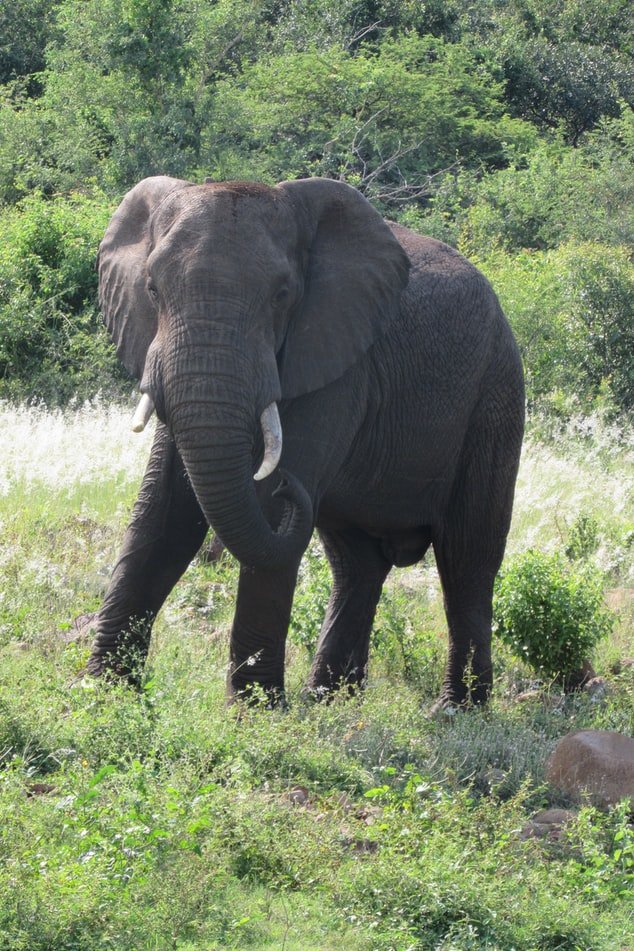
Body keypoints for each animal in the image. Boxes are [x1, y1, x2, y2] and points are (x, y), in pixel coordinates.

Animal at [85, 175, 524, 709]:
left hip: (495, 397)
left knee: (467, 559)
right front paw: (101, 696)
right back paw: (327, 702)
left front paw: (255, 713)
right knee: (356, 565)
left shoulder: (338, 366)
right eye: (152, 288)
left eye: (282, 295)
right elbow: (164, 510)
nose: (286, 483)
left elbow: (265, 516)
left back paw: (456, 709)